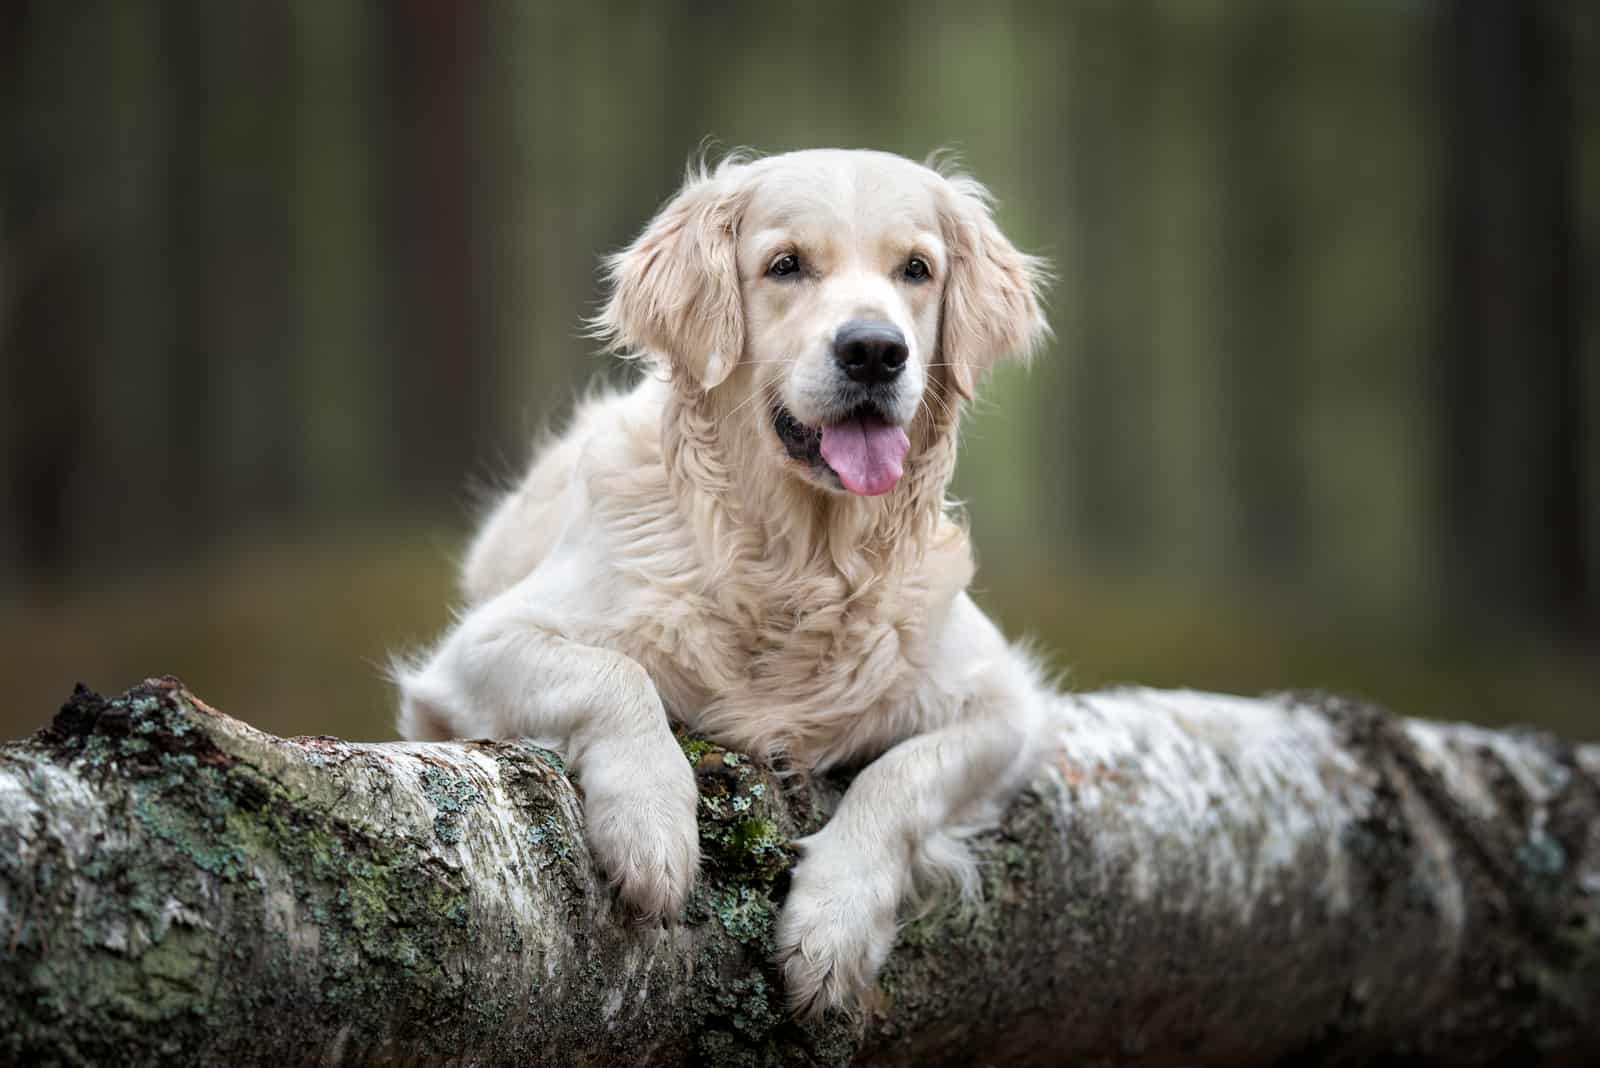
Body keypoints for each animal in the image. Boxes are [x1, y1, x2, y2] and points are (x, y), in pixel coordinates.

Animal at [395, 146, 1056, 1016]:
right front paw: (651, 826)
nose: (875, 351)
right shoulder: (472, 652)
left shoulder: (1006, 707)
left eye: (916, 269)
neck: (795, 566)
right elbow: (614, 673)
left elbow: (903, 776)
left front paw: (834, 922)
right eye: (786, 265)